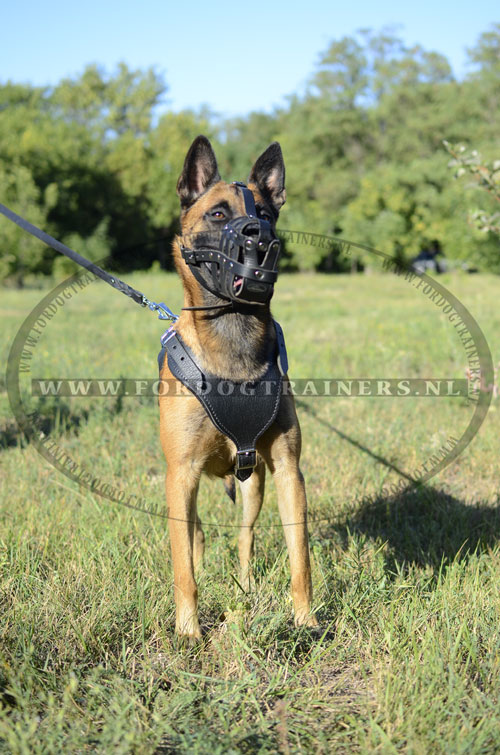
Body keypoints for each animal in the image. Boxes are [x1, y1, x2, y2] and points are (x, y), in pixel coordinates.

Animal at [158, 136, 318, 636]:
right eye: (218, 214)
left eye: (265, 213)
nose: (258, 236)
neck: (234, 334)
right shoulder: (181, 473)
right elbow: (183, 569)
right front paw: (189, 632)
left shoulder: (288, 469)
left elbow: (300, 559)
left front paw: (306, 620)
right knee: (194, 539)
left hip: (255, 486)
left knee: (245, 540)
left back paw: (246, 589)